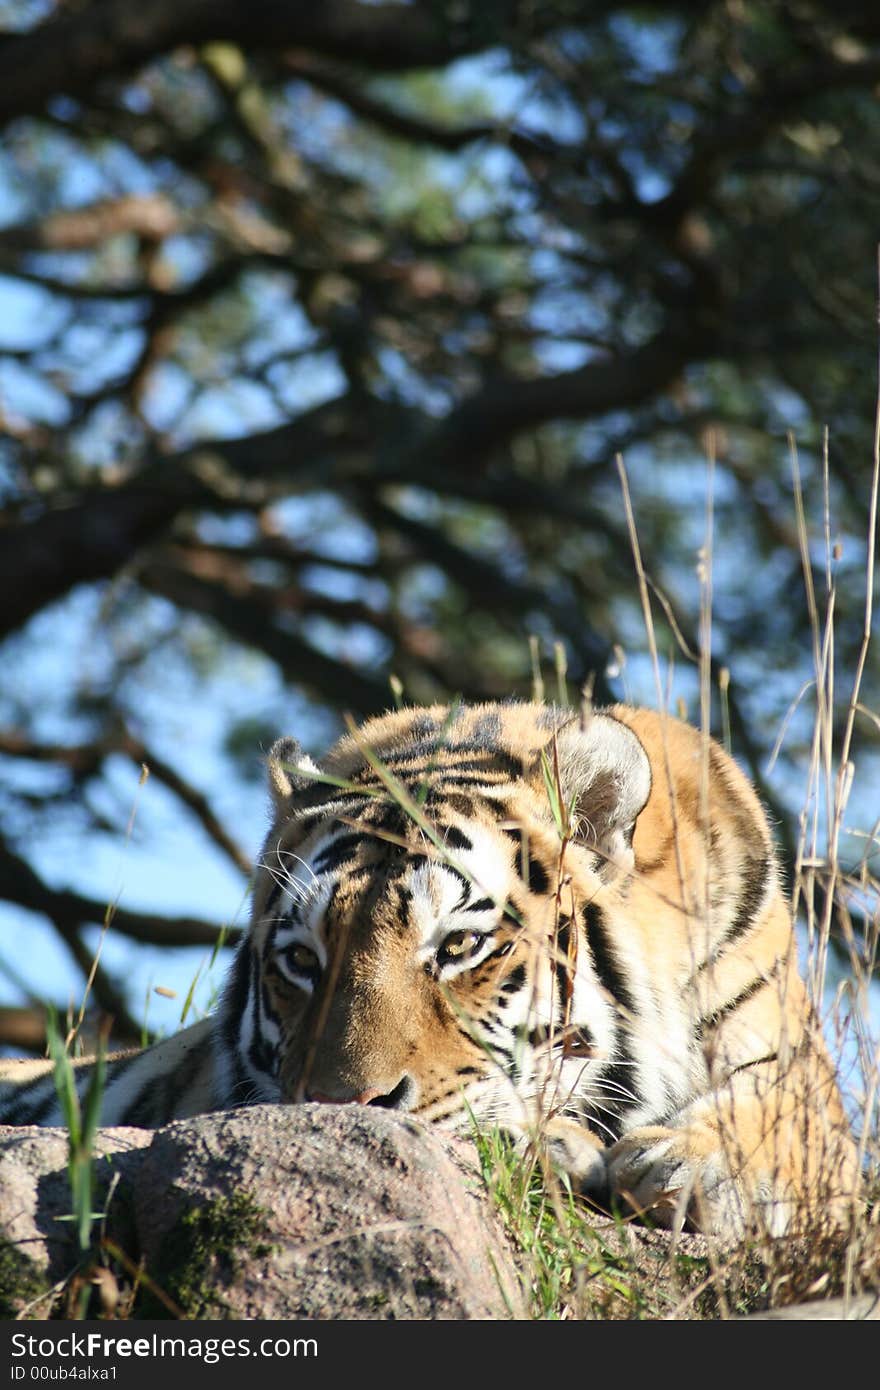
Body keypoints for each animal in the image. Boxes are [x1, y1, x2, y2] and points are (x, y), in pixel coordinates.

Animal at [0, 700, 856, 1245]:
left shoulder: (801, 1075)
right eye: (303, 960)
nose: (342, 1109)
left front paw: (685, 1165)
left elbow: (774, 1121)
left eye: (457, 947)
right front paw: (553, 1145)